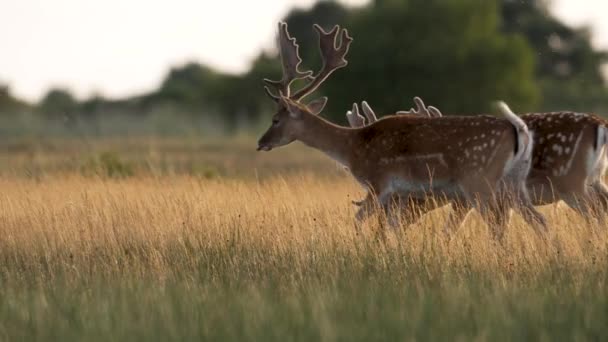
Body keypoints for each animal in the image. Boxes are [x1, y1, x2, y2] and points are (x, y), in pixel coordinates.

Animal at [256, 22, 548, 238]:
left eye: (275, 119)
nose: (261, 142)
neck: (353, 147)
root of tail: (516, 132)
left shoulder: (379, 183)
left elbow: (361, 221)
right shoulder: (397, 193)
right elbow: (392, 227)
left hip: (478, 179)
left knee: (498, 224)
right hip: (510, 184)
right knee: (537, 219)